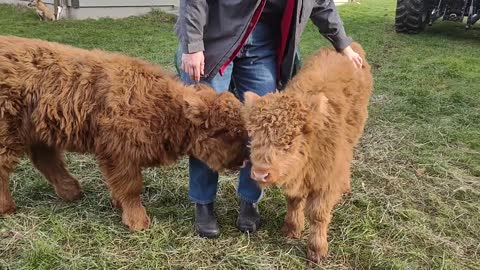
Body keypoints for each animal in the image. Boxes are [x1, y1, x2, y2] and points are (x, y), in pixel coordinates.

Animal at [0, 35, 248, 230]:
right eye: (228, 132)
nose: (245, 160)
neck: (162, 106)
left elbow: (120, 185)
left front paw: (118, 204)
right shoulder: (119, 152)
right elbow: (130, 187)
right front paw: (138, 221)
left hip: (37, 129)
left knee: (46, 159)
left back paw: (72, 192)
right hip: (8, 133)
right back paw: (7, 208)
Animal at [244, 42, 372, 264]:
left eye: (289, 143)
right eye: (253, 137)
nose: (260, 173)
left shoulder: (326, 180)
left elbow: (318, 215)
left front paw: (317, 250)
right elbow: (294, 201)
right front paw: (292, 229)